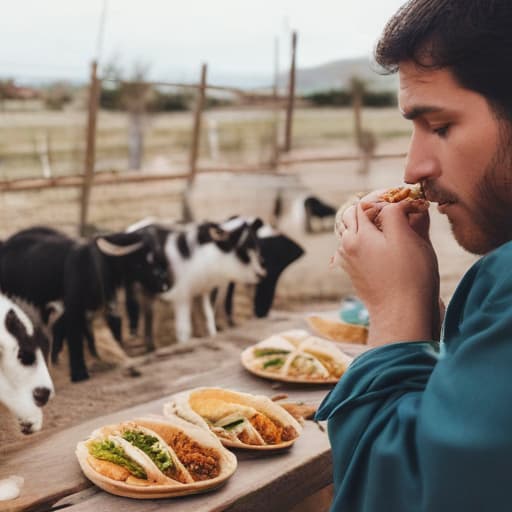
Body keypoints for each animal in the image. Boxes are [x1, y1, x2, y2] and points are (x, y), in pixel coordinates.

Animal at [0, 226, 172, 382]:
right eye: (144, 260)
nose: (164, 285)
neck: (96, 266)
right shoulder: (74, 309)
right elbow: (75, 337)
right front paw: (79, 374)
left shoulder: (104, 306)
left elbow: (108, 331)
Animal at [125, 216, 266, 348]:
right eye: (241, 250)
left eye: (256, 245)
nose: (261, 274)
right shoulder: (182, 296)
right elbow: (184, 329)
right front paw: (186, 343)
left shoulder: (204, 291)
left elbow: (208, 318)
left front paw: (212, 335)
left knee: (150, 315)